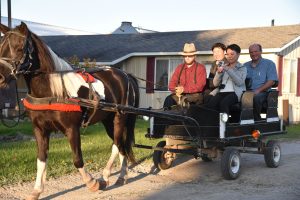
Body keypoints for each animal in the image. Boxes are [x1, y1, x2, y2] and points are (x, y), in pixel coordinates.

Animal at [0, 22, 140, 199]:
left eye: (19, 48)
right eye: (0, 46)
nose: (0, 77)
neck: (54, 92)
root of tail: (125, 74)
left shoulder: (72, 129)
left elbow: (77, 159)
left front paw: (92, 182)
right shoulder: (40, 129)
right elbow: (41, 159)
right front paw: (37, 190)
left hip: (119, 118)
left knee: (116, 145)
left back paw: (105, 176)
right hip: (108, 121)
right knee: (121, 145)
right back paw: (121, 177)